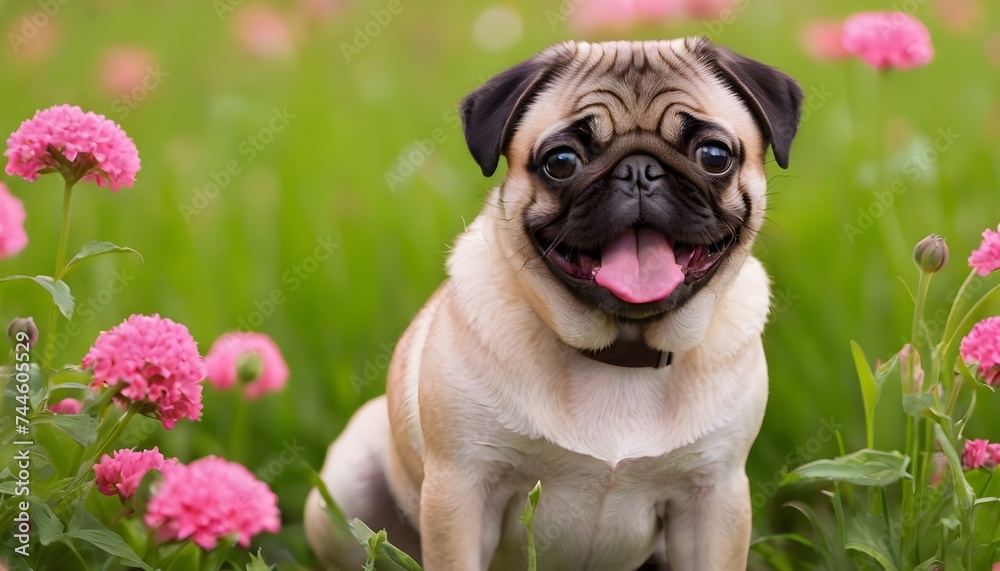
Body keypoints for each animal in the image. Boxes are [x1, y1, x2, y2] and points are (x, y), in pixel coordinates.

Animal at [304, 36, 804, 571]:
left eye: (714, 155)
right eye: (561, 162)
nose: (639, 170)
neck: (620, 352)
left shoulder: (715, 495)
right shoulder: (462, 488)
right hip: (344, 486)